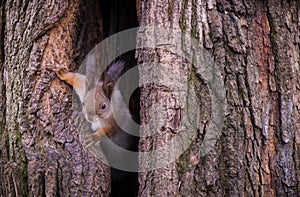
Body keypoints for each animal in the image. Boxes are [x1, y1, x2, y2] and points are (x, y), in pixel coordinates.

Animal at [47, 60, 139, 196]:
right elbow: (77, 79)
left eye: (103, 106)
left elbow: (109, 131)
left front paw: (94, 137)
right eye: (84, 102)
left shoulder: (115, 121)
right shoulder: (84, 88)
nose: (89, 117)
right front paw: (61, 72)